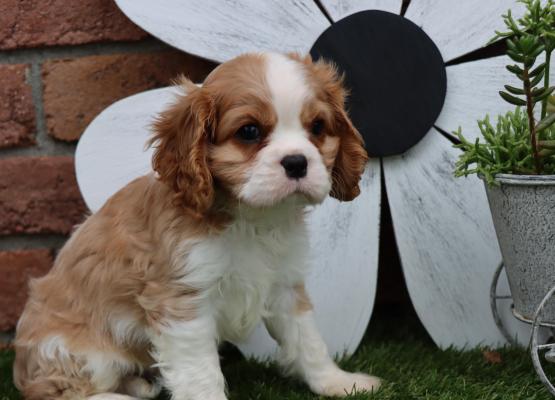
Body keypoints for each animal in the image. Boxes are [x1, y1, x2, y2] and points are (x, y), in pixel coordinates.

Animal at [13, 53, 380, 400]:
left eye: (317, 127)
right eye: (249, 132)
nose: (297, 162)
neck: (252, 218)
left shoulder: (285, 285)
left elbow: (308, 340)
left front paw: (338, 382)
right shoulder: (182, 301)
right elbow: (200, 371)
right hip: (79, 352)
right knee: (55, 390)